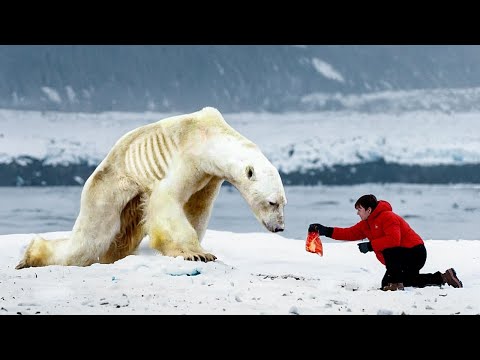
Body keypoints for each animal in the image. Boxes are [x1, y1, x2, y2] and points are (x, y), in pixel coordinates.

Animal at [16, 105, 286, 268]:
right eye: (271, 202)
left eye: (284, 203)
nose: (279, 227)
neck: (210, 135)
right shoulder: (188, 158)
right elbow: (167, 200)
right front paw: (196, 253)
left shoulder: (209, 178)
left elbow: (197, 209)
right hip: (109, 188)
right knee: (91, 239)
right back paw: (29, 256)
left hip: (133, 201)